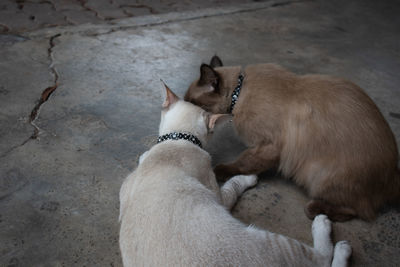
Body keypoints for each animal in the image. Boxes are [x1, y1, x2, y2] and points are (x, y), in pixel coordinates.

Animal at [117, 85, 352, 266]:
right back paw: (329, 231)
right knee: (322, 257)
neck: (177, 140)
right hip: (276, 243)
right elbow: (233, 184)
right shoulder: (219, 196)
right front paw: (249, 177)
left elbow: (143, 156)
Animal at [184, 56, 400, 222]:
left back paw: (315, 210)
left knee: (358, 212)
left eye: (191, 102)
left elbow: (244, 162)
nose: (183, 106)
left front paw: (221, 170)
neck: (239, 92)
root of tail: (393, 176)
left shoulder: (268, 146)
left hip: (318, 176)